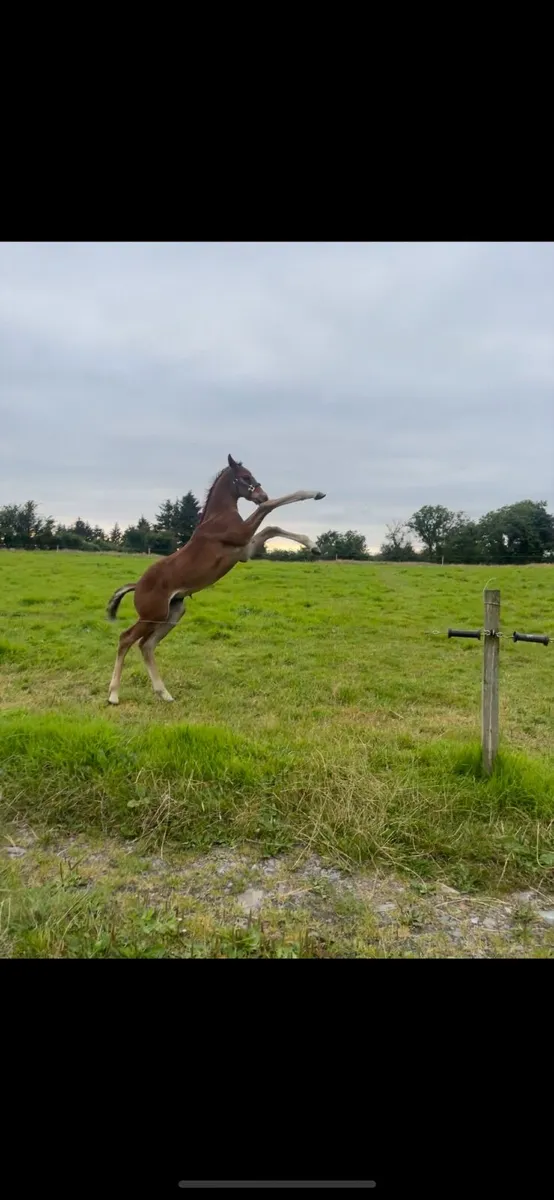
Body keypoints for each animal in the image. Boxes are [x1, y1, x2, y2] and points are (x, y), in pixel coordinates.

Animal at [106, 454, 325, 705]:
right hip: (152, 615)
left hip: (173, 613)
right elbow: (269, 511)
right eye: (245, 477)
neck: (218, 516)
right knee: (126, 639)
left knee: (146, 645)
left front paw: (314, 546)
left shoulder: (245, 551)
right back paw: (113, 695)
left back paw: (164, 693)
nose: (262, 495)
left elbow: (272, 527)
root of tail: (137, 585)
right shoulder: (242, 536)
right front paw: (315, 493)